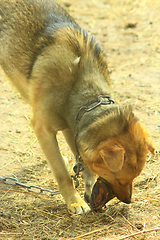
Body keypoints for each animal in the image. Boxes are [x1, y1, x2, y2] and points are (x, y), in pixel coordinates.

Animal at [0, 0, 155, 214]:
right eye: (119, 178)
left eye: (134, 177)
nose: (128, 201)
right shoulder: (44, 129)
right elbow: (62, 173)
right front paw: (75, 202)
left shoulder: (72, 126)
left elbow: (79, 160)